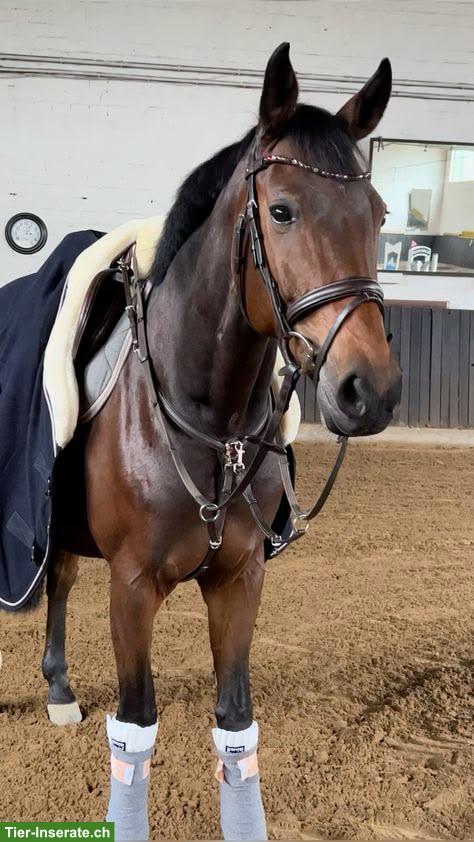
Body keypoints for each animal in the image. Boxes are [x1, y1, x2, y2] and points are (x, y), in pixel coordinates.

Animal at [38, 42, 401, 841]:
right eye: (282, 210)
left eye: (379, 214)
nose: (370, 390)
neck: (207, 419)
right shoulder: (132, 587)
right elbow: (134, 731)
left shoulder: (240, 581)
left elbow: (236, 726)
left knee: (59, 578)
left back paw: (57, 689)